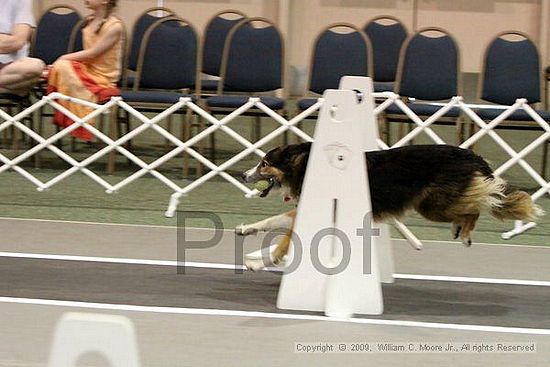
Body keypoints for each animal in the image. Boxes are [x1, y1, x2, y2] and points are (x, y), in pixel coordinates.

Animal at [239, 143, 544, 270]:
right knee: (478, 204)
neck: (303, 164)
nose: (243, 175)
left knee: (476, 207)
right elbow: (274, 221)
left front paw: (263, 262)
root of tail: (472, 156)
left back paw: (466, 232)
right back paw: (462, 230)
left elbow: (284, 240)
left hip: (433, 205)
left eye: (264, 164)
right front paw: (246, 229)